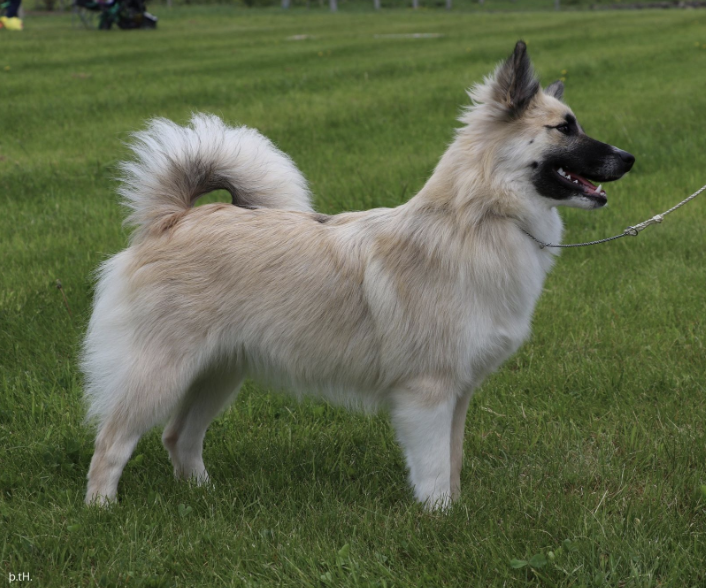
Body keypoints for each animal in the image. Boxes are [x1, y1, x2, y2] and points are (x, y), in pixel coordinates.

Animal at [81, 42, 632, 510]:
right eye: (564, 128)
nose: (629, 158)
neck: (481, 219)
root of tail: (173, 218)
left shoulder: (459, 393)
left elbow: (452, 462)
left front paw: (456, 513)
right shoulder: (428, 393)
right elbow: (434, 470)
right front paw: (440, 520)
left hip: (218, 371)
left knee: (179, 437)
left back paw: (204, 495)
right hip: (161, 371)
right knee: (112, 442)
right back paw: (102, 509)